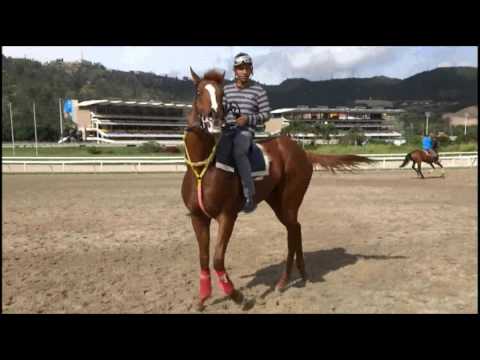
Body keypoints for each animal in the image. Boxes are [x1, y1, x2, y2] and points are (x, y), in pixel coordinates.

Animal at [182, 67, 374, 310]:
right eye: (199, 92)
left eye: (221, 94)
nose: (215, 119)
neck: (203, 168)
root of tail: (303, 152)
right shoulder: (198, 218)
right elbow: (203, 259)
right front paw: (203, 299)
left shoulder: (227, 216)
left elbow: (217, 260)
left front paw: (238, 296)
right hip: (277, 202)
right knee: (296, 228)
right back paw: (302, 275)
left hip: (290, 200)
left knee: (293, 231)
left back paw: (284, 281)